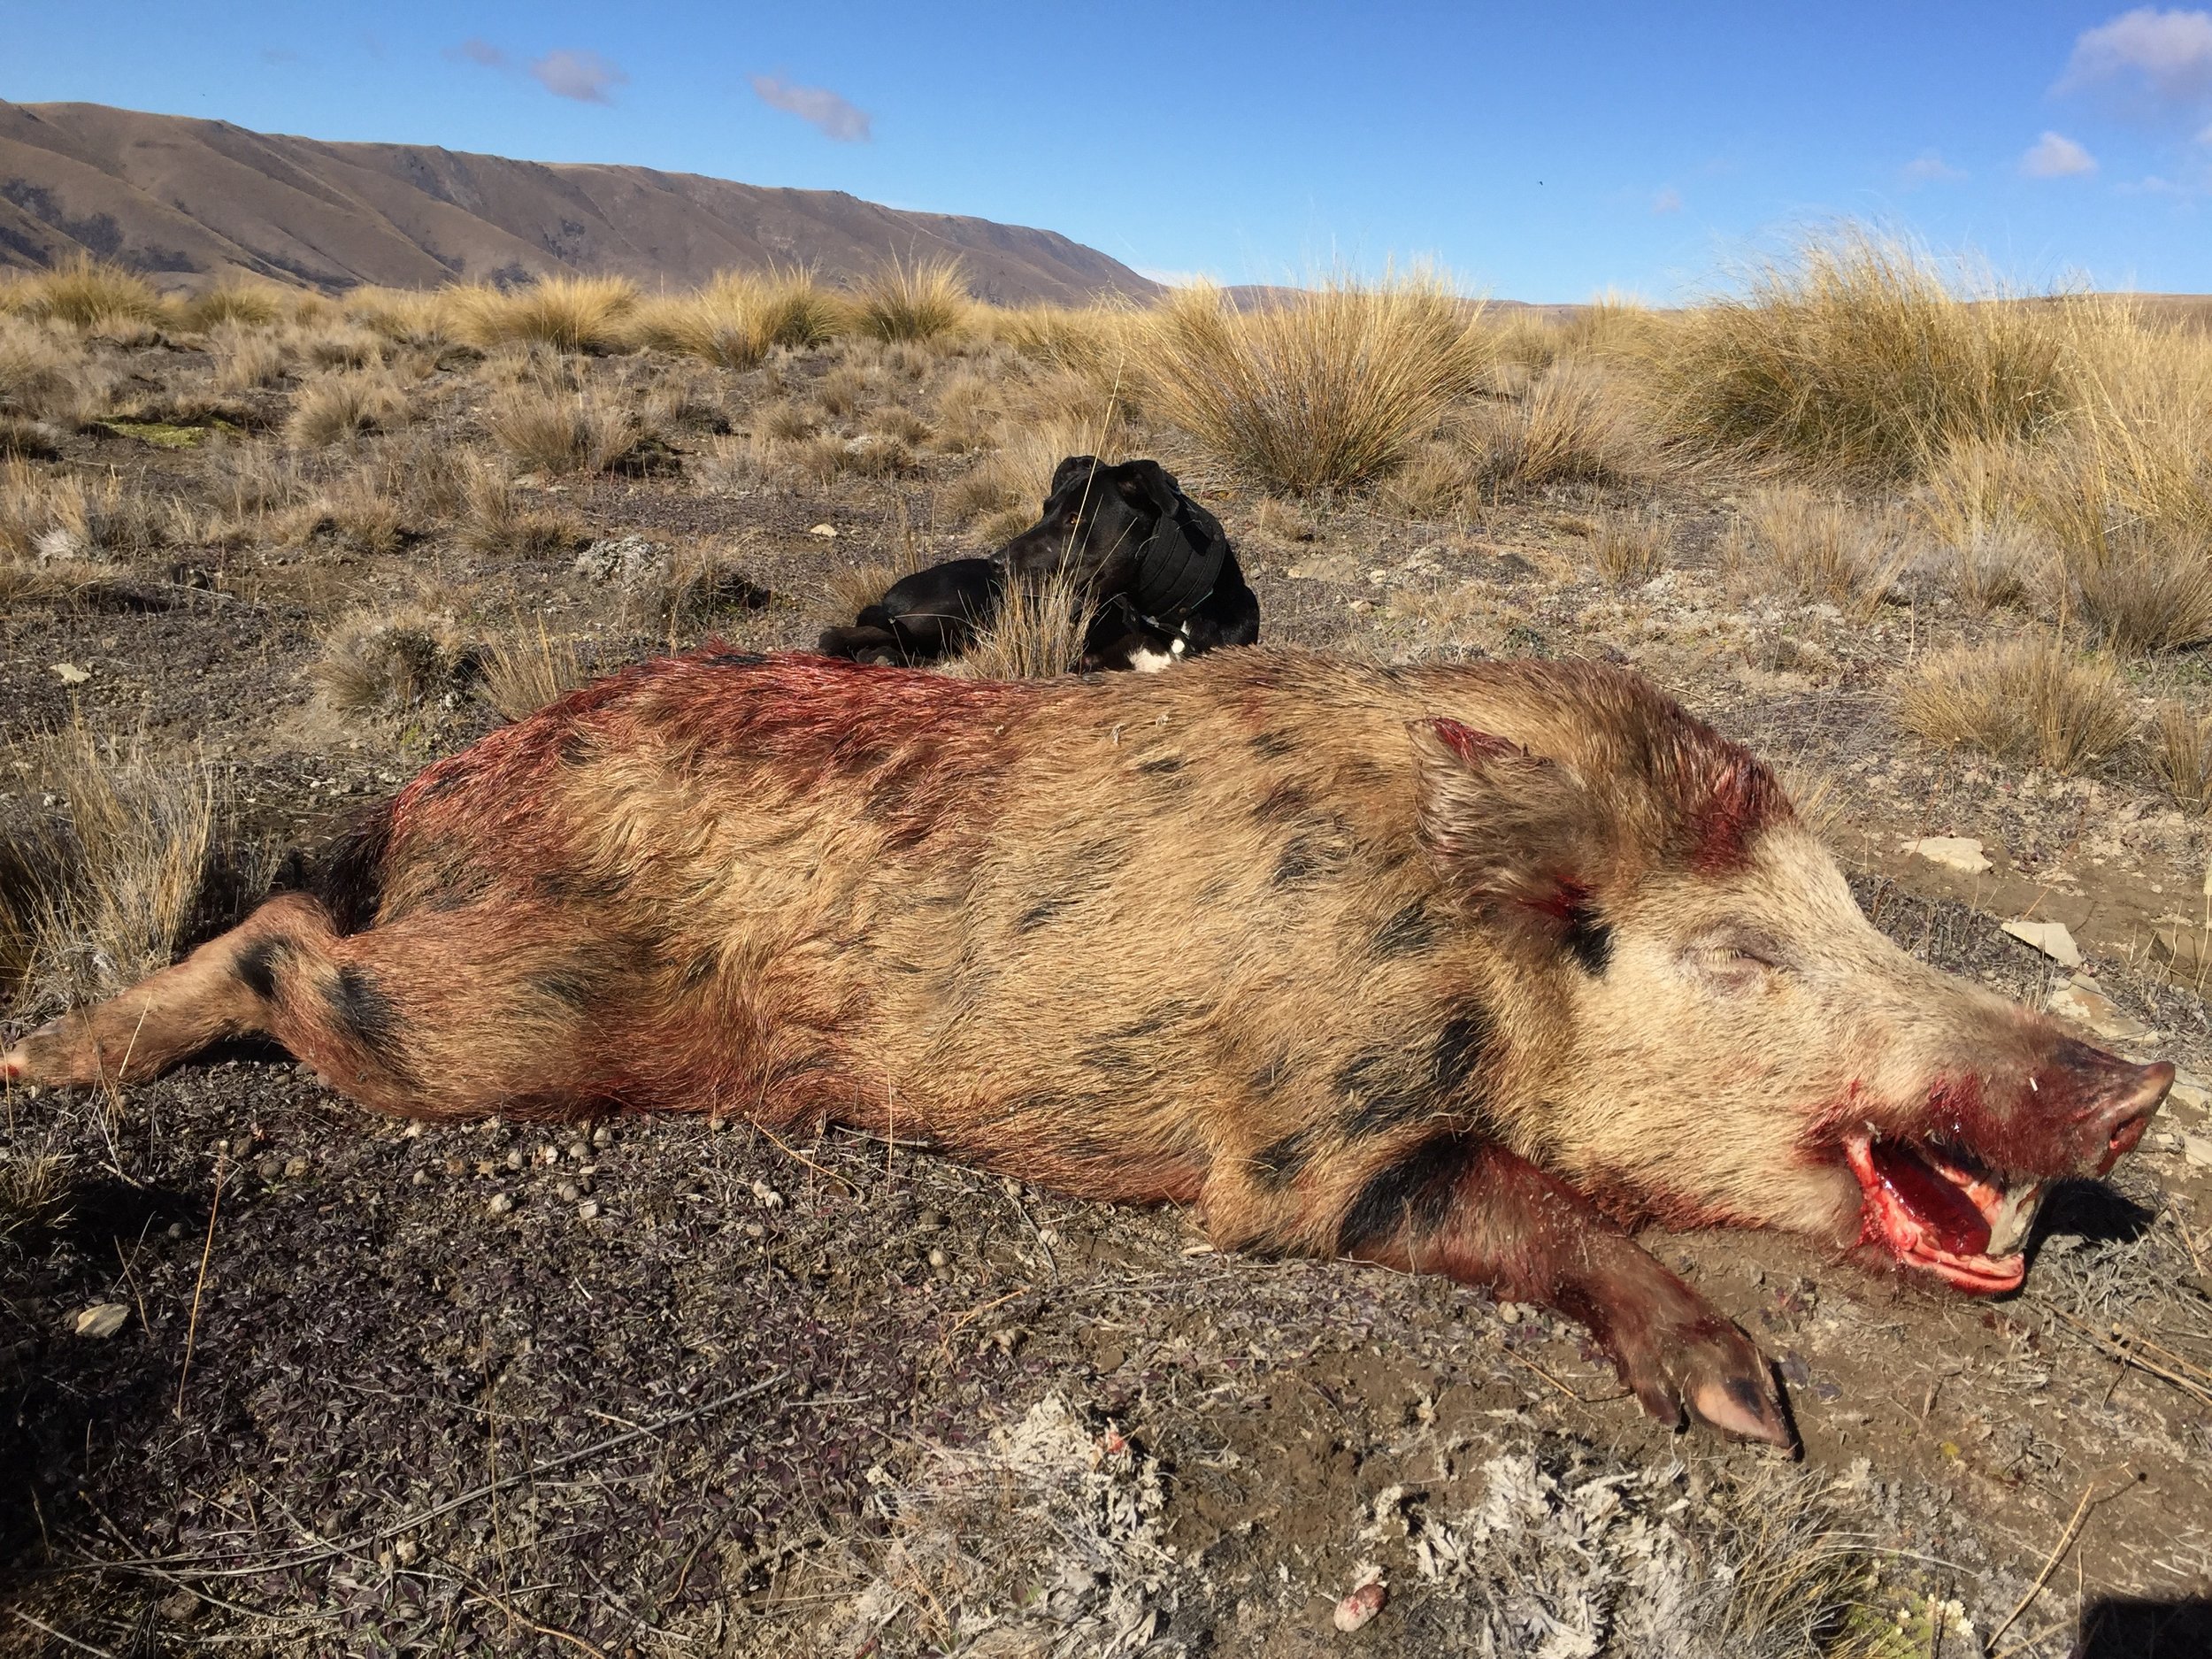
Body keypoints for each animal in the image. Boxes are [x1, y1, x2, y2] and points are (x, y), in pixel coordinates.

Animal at [814, 457, 1265, 672]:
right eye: (1045, 509)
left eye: (1075, 518)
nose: (996, 563)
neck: (1170, 620)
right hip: (954, 611)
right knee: (838, 635)